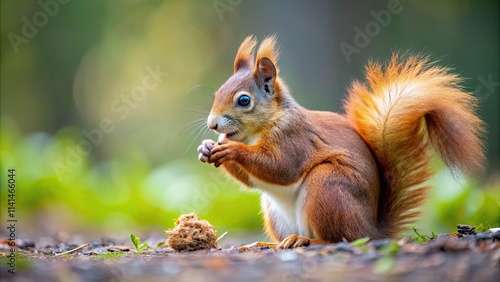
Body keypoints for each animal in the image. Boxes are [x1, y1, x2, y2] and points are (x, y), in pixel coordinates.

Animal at [196, 35, 484, 249]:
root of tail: (371, 229)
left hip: (328, 186)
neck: (260, 130)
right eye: (218, 92)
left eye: (244, 100)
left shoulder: (295, 138)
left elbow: (280, 167)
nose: (212, 124)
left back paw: (306, 240)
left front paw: (232, 149)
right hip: (276, 212)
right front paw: (206, 149)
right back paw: (267, 244)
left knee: (339, 239)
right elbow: (253, 179)